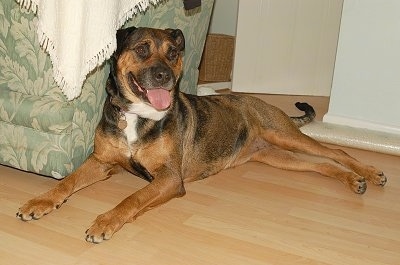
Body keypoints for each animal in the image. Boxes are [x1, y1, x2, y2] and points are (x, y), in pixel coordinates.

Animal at [16, 26, 388, 241]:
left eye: (173, 52)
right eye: (142, 48)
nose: (165, 76)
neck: (138, 115)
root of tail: (254, 99)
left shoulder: (169, 178)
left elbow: (132, 198)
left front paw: (105, 222)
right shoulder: (101, 161)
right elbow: (66, 182)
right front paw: (39, 202)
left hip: (282, 134)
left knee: (335, 152)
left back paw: (368, 173)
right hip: (277, 156)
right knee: (321, 165)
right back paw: (354, 181)